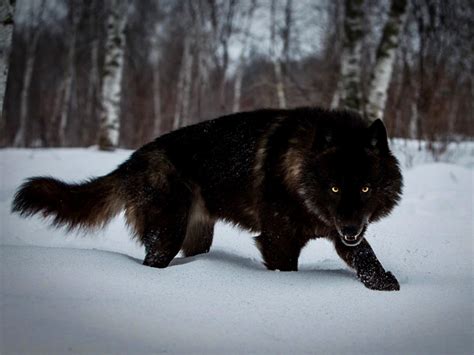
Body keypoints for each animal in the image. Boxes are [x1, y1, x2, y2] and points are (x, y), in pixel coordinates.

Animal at [12, 108, 402, 292]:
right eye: (334, 188)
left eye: (365, 189)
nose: (350, 227)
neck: (298, 170)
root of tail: (134, 159)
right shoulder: (278, 241)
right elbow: (286, 271)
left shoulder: (342, 233)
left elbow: (366, 256)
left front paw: (384, 284)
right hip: (167, 236)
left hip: (196, 236)